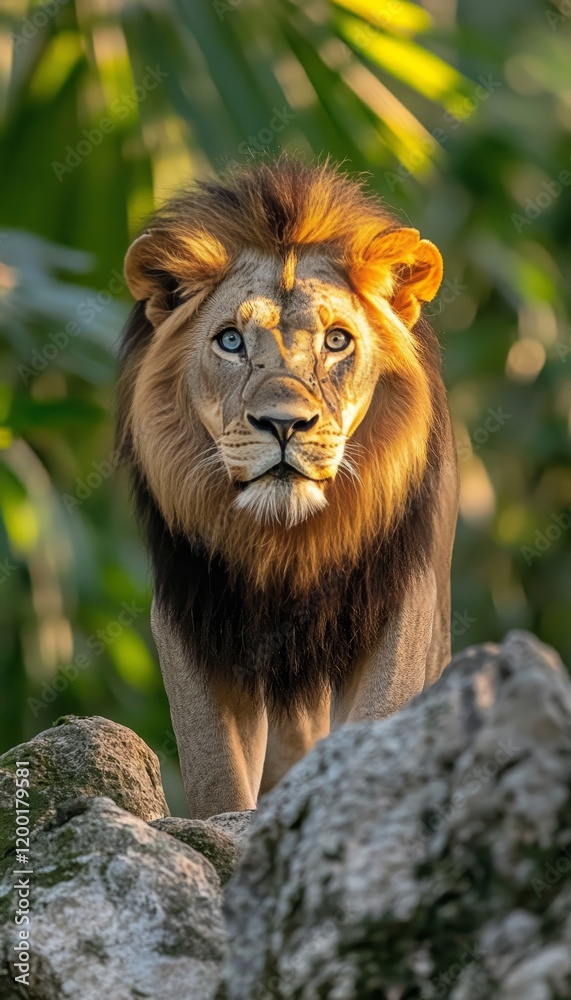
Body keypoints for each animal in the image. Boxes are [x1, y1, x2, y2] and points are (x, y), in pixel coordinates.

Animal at [117, 159, 459, 819]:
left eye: (336, 340)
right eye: (230, 340)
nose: (282, 423)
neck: (288, 543)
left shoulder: (403, 601)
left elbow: (377, 723)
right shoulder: (193, 615)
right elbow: (217, 776)